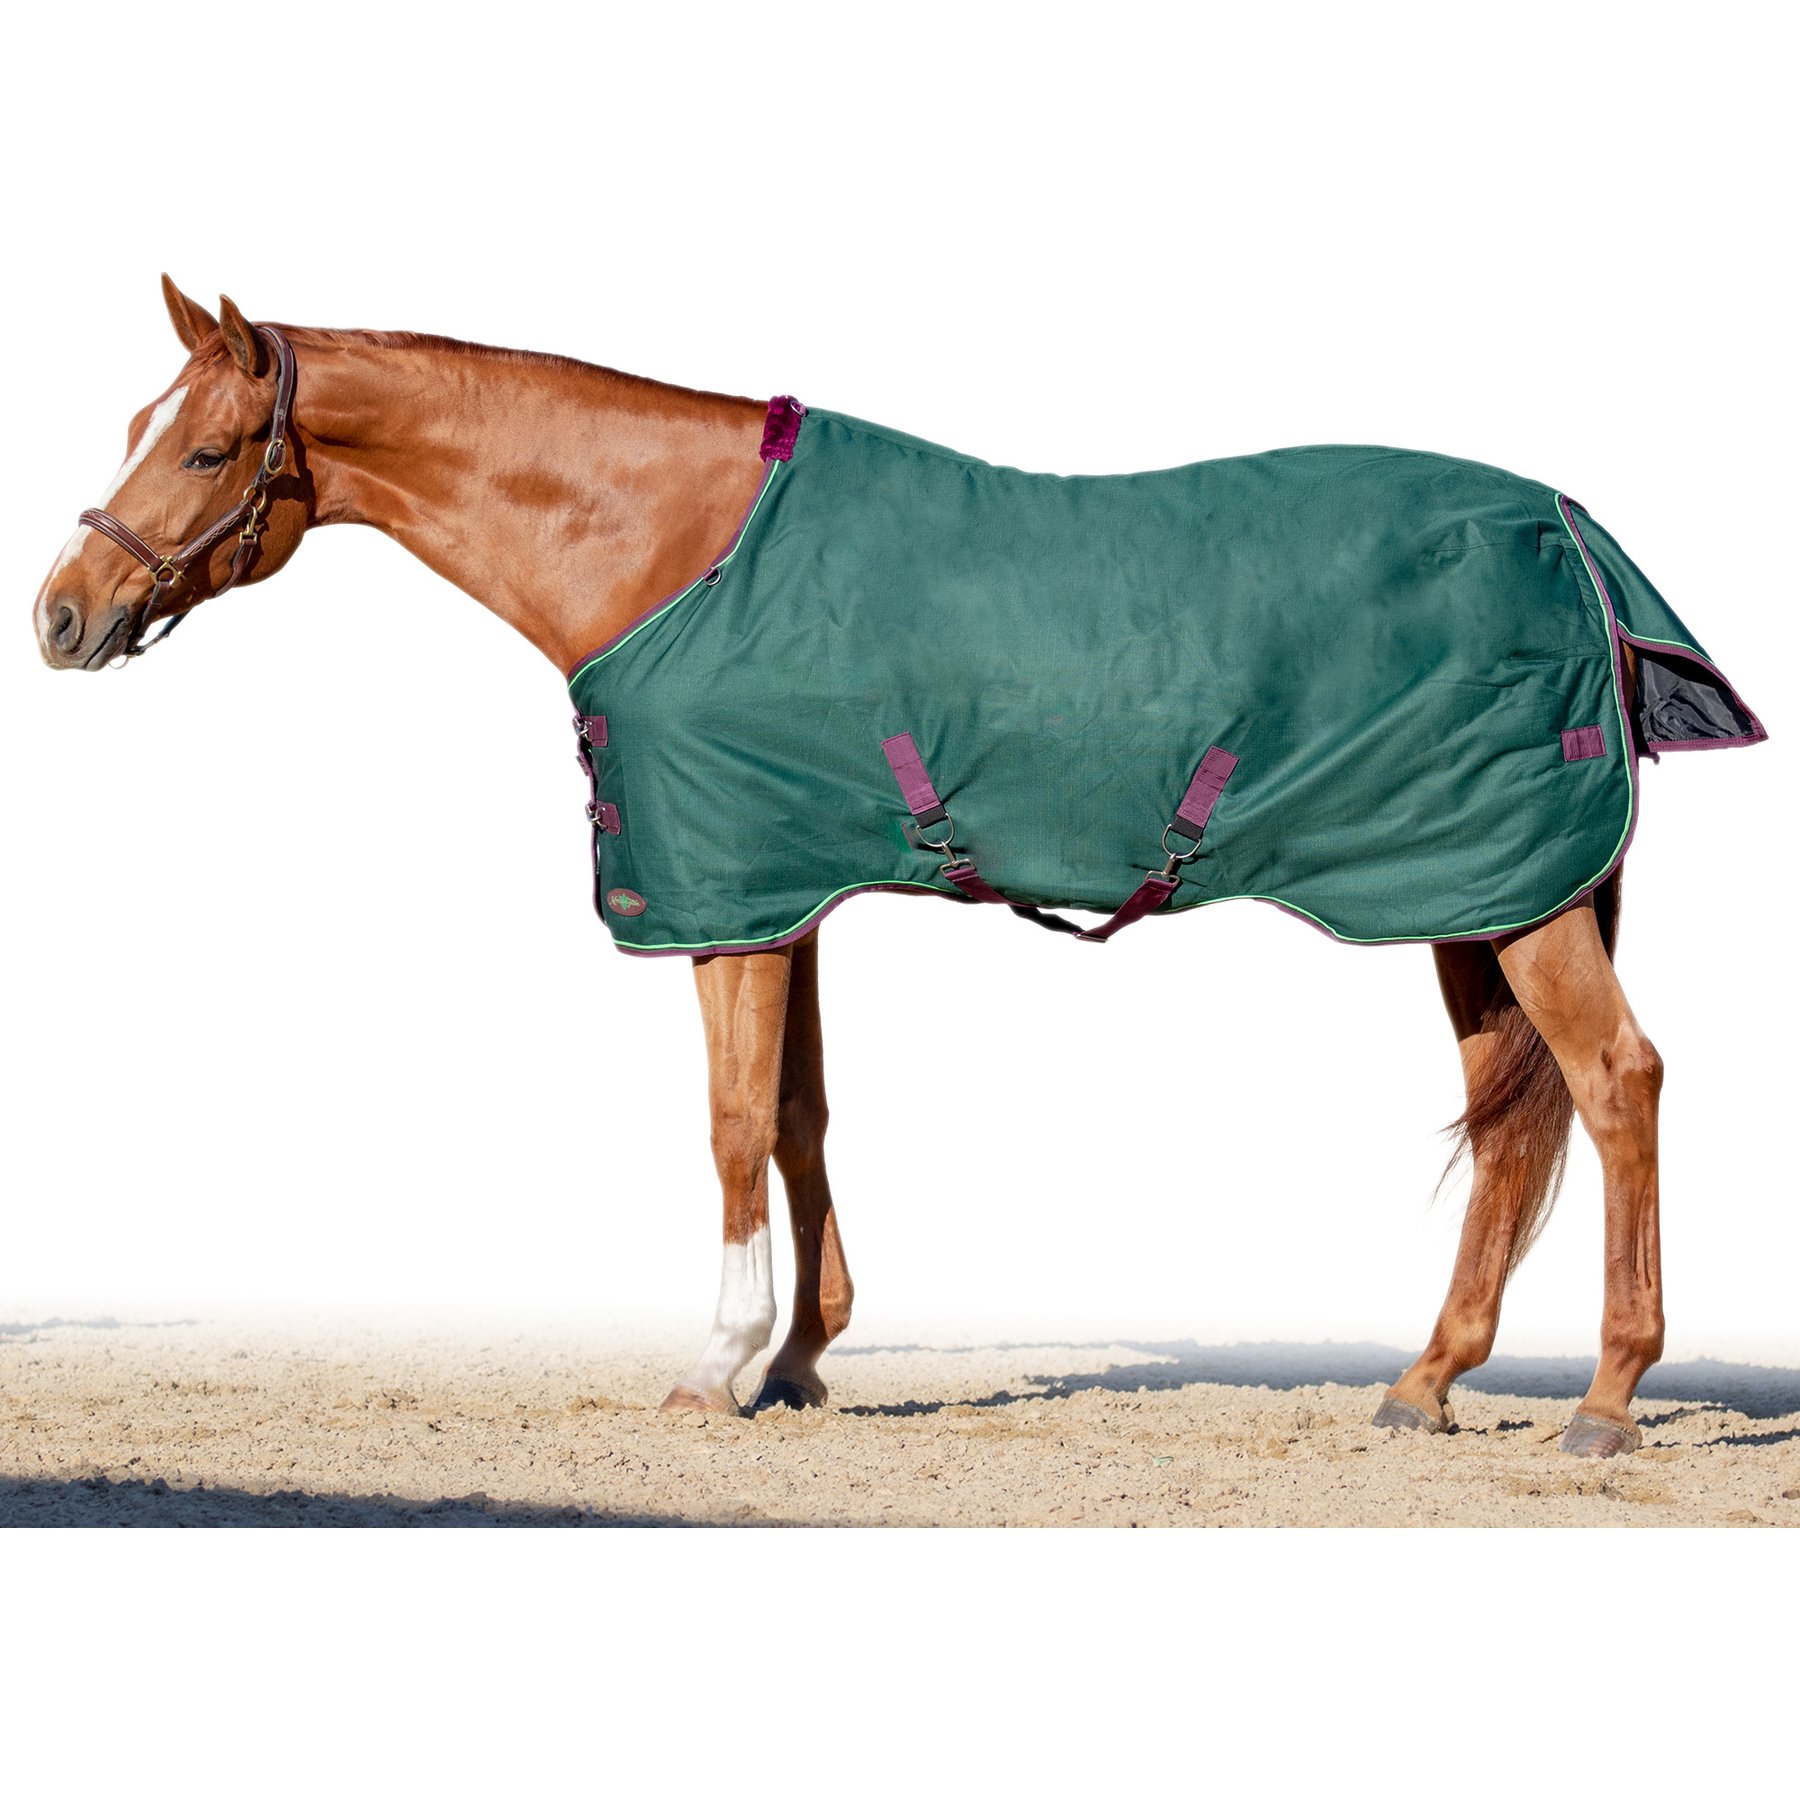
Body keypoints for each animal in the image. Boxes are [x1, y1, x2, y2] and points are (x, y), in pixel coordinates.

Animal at [32, 278, 1766, 1459]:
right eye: (135, 431)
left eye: (204, 450)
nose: (58, 616)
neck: (676, 549)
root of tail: (1567, 528)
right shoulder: (783, 886)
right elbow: (800, 1116)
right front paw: (802, 1361)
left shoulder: (724, 899)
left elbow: (732, 1128)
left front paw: (716, 1364)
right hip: (1466, 891)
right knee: (1514, 1111)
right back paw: (1427, 1380)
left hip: (1515, 891)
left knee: (1615, 1080)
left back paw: (1607, 1400)